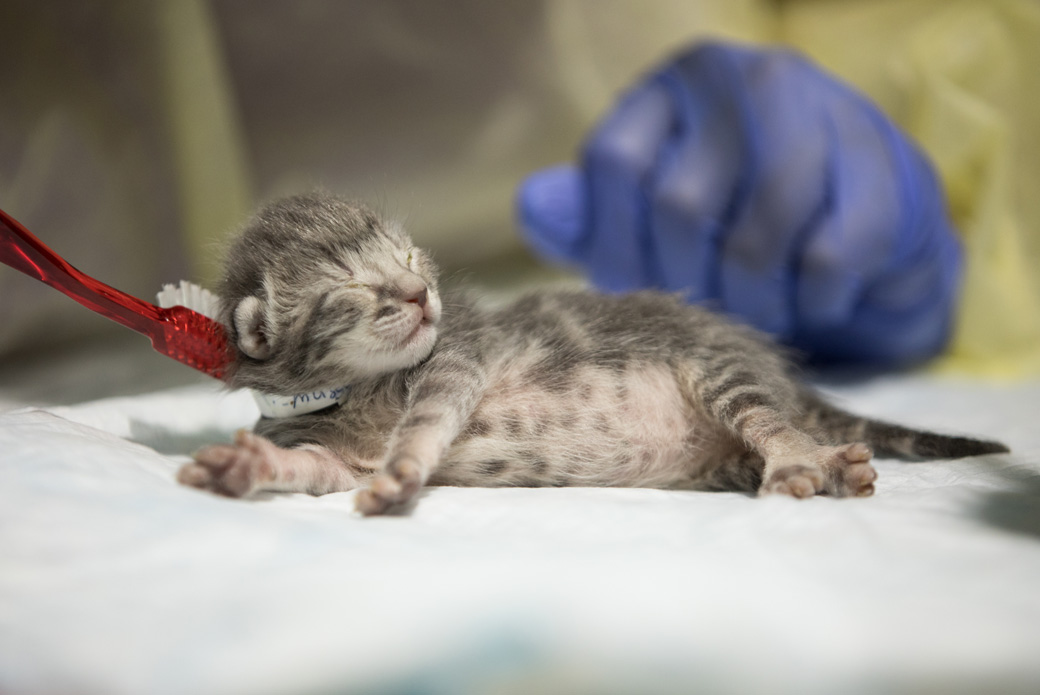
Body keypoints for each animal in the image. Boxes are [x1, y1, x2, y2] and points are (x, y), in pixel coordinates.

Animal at [176, 192, 1006, 513]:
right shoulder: (329, 449)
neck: (355, 390)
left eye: (411, 259)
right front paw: (245, 464)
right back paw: (828, 467)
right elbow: (315, 469)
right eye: (354, 286)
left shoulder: (460, 354)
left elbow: (431, 414)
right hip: (721, 456)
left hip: (716, 370)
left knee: (777, 423)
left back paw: (807, 461)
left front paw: (406, 466)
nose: (420, 296)